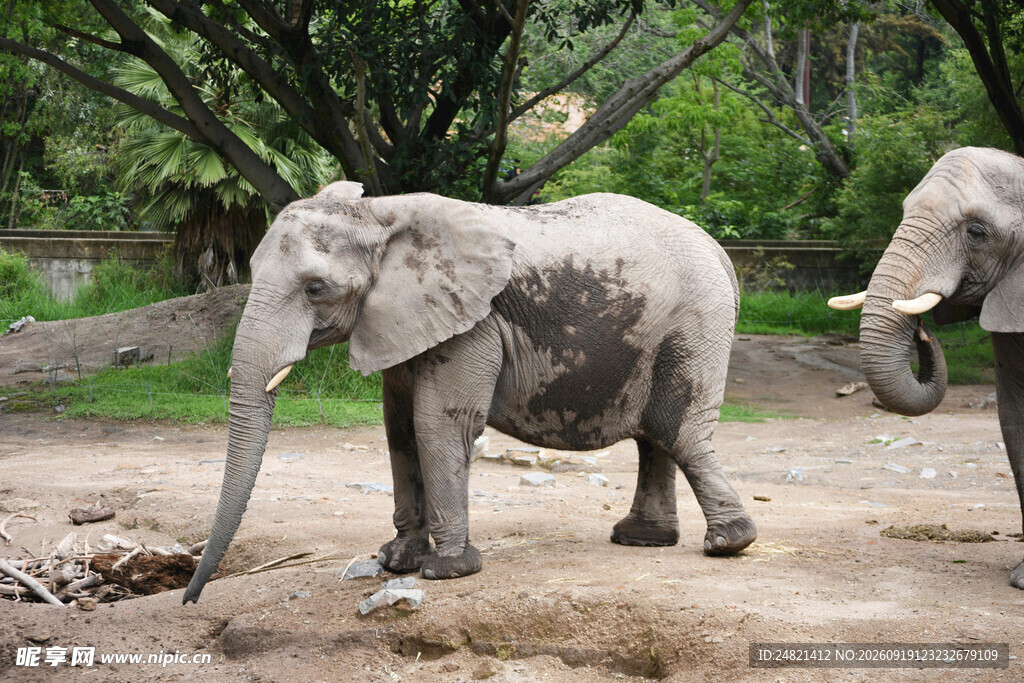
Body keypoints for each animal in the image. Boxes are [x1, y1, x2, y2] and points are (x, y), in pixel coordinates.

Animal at [182, 181, 757, 604]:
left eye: (315, 288)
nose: (190, 598)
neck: (377, 215)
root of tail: (720, 252)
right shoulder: (402, 319)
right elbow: (398, 428)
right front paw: (394, 560)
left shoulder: (473, 322)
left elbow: (438, 423)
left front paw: (447, 570)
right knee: (655, 437)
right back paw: (643, 539)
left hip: (694, 323)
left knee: (679, 430)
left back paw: (728, 543)